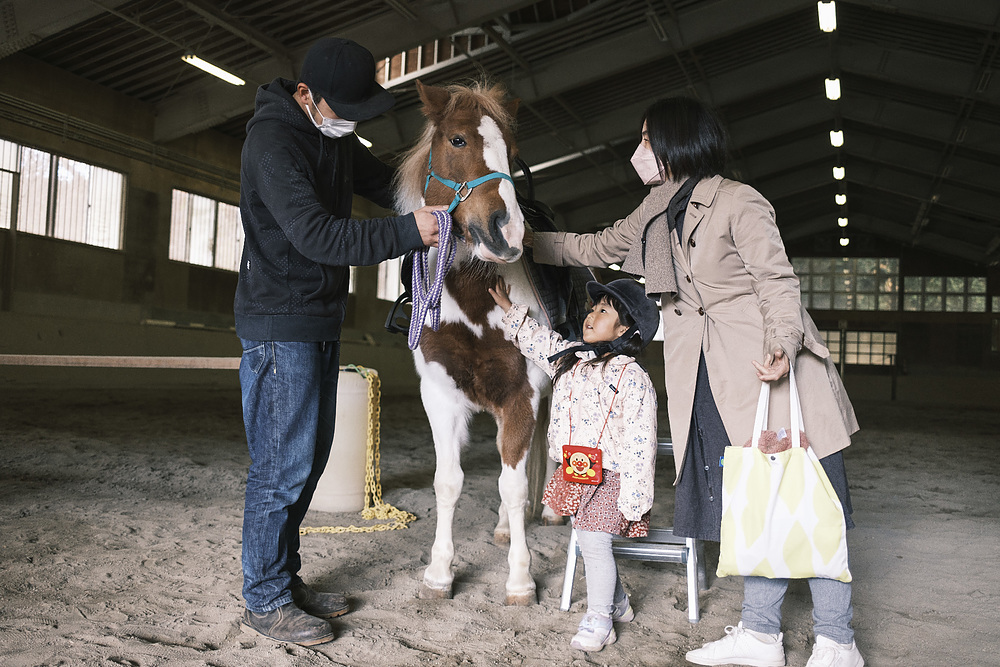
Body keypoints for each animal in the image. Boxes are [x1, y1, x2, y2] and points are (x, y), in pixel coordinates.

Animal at [394, 81, 552, 608]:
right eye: (458, 140)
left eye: (513, 150)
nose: (508, 232)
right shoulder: (440, 395)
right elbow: (449, 482)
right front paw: (439, 572)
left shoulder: (523, 395)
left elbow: (514, 485)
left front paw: (521, 580)